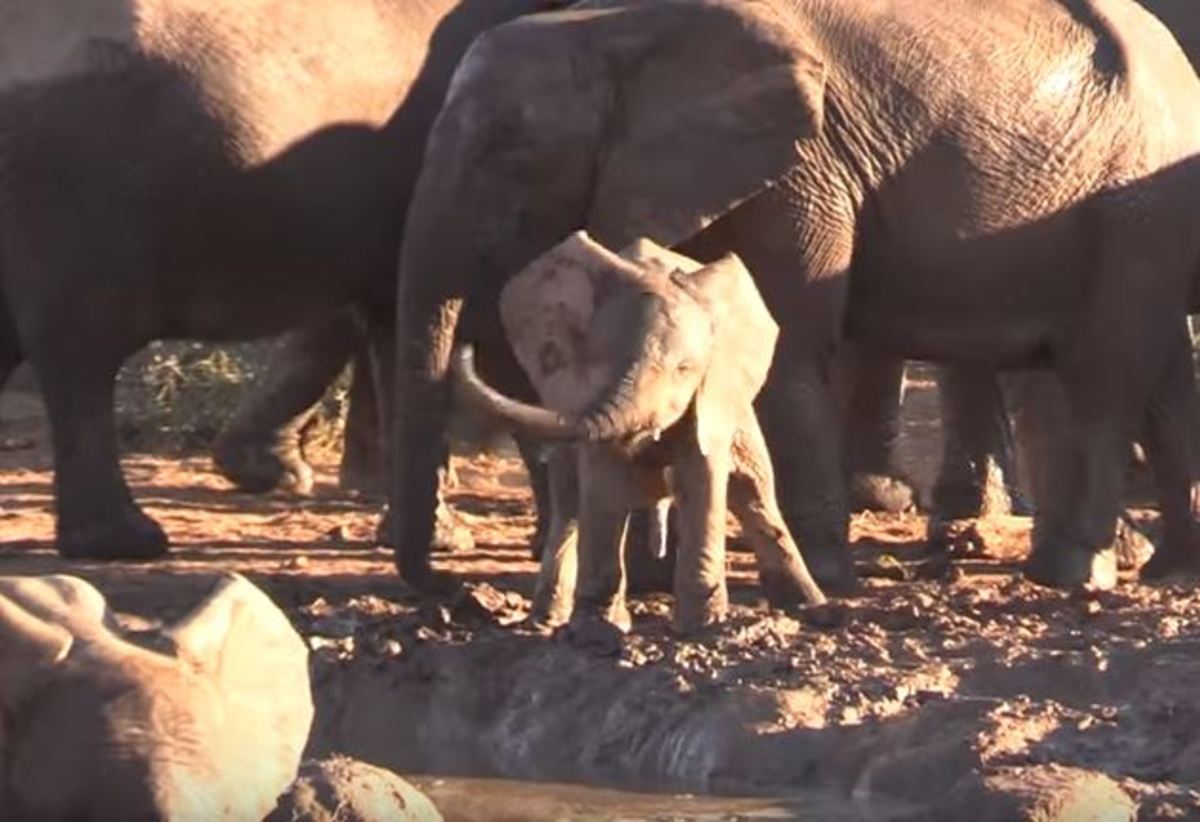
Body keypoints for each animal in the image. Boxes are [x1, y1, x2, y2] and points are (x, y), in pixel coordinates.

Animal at [386, 0, 1200, 592]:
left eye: (506, 146)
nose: (449, 596)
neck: (616, 27)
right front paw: (657, 578)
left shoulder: (800, 174)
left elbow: (789, 349)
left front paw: (826, 577)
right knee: (1153, 382)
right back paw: (1161, 570)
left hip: (1135, 211)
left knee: (1107, 373)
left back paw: (1076, 574)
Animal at [451, 234, 825, 633]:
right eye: (600, 360)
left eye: (684, 369)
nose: (466, 346)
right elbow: (603, 483)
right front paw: (597, 628)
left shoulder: (711, 394)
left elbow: (702, 477)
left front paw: (701, 627)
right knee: (569, 505)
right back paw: (546, 621)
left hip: (736, 409)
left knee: (754, 491)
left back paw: (813, 608)